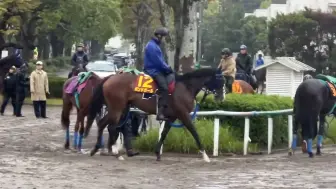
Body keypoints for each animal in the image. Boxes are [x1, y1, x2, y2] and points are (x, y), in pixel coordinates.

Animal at [83, 68, 224, 162]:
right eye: (220, 80)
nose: (222, 98)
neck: (185, 87)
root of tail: (110, 77)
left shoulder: (172, 117)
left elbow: (164, 133)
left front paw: (157, 153)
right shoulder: (183, 114)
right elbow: (194, 131)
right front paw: (205, 155)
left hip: (117, 108)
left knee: (103, 124)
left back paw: (97, 149)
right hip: (117, 108)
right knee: (111, 127)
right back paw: (116, 153)